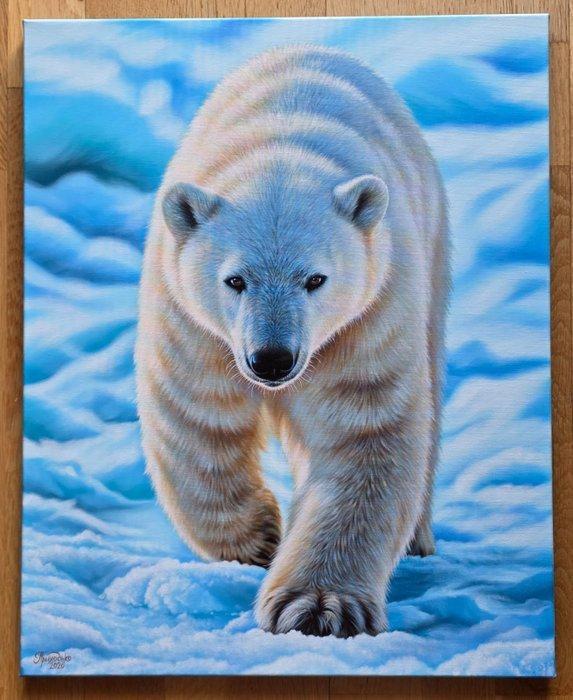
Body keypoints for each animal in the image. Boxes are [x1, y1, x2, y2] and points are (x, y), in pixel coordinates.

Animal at [135, 44, 449, 638]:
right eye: (235, 280)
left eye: (315, 279)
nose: (272, 360)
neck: (280, 150)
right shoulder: (192, 322)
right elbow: (198, 417)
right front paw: (259, 538)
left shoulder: (367, 319)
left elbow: (363, 436)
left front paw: (320, 608)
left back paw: (419, 539)